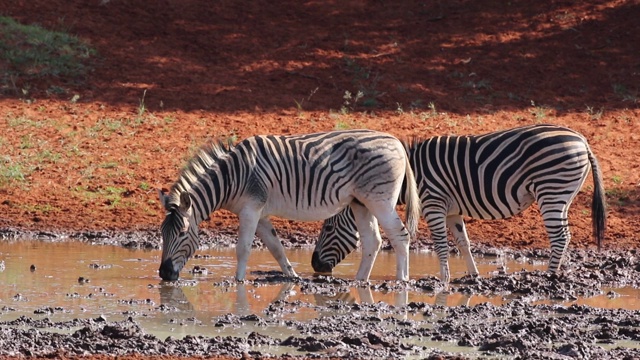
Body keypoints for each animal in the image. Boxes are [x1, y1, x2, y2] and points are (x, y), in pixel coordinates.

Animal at [158, 131, 422, 282]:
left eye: (182, 234)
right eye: (162, 233)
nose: (163, 274)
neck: (233, 177)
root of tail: (396, 141)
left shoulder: (251, 209)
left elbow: (243, 248)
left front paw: (238, 281)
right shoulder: (259, 213)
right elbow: (276, 248)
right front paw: (292, 275)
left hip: (380, 200)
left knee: (400, 236)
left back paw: (402, 281)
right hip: (361, 203)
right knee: (372, 241)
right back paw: (360, 281)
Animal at [312, 125, 608, 286]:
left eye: (327, 230)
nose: (315, 266)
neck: (409, 174)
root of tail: (582, 140)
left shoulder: (434, 203)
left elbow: (441, 244)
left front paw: (443, 279)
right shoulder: (452, 211)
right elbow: (463, 243)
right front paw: (473, 274)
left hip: (551, 189)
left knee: (560, 236)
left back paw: (550, 275)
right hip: (562, 194)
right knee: (566, 234)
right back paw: (559, 272)